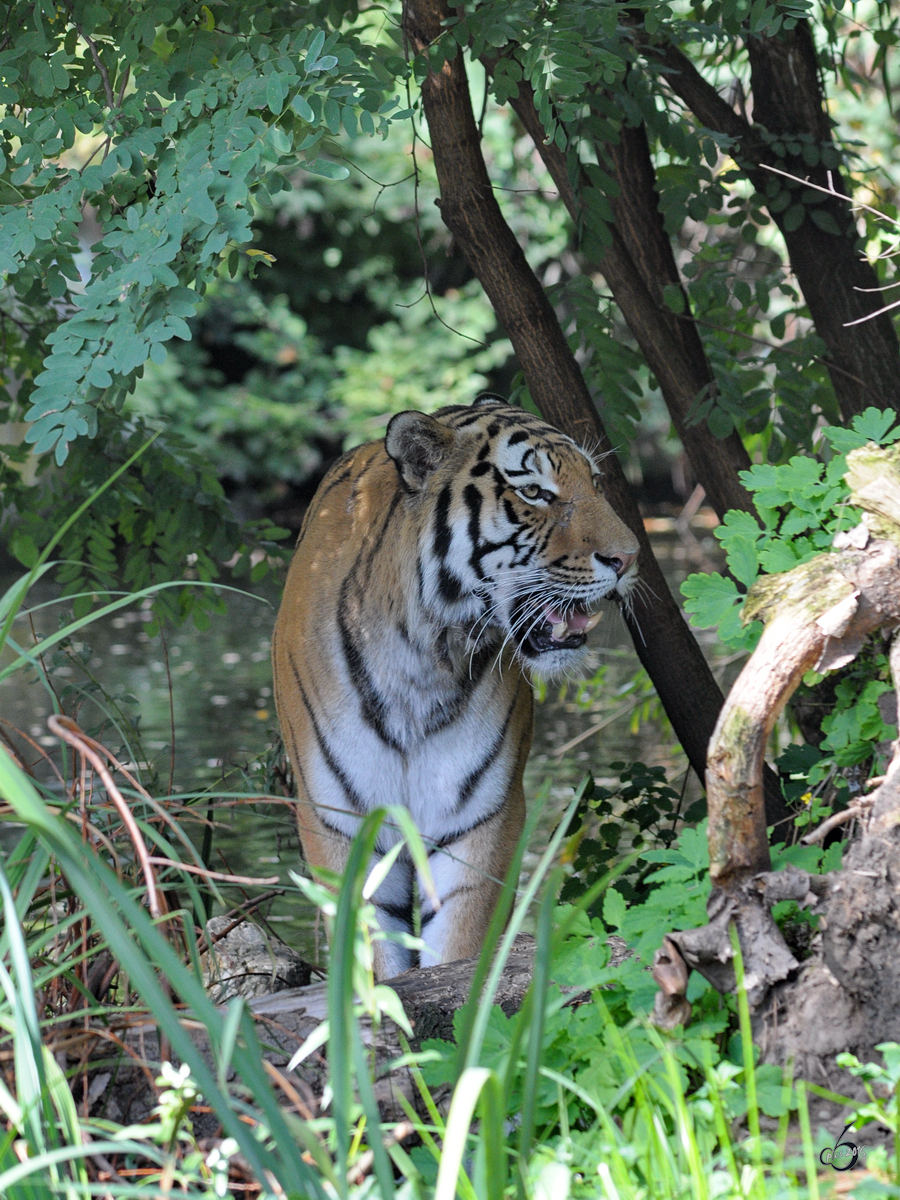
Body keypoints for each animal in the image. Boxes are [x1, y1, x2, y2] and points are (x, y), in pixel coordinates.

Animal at [273, 398, 643, 979]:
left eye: (596, 481)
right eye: (534, 493)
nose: (629, 558)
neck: (422, 659)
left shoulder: (481, 818)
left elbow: (459, 951)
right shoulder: (340, 821)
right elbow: (373, 966)